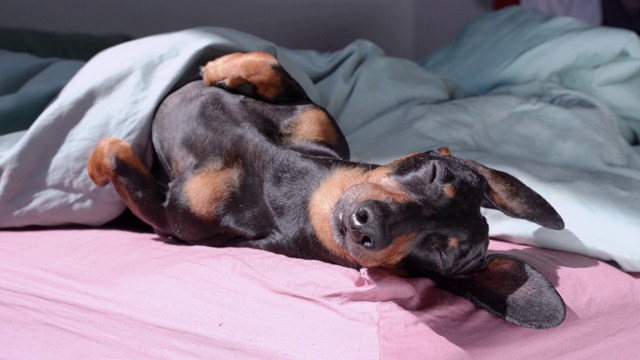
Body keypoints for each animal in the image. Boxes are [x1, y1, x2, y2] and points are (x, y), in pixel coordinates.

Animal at [89, 51, 564, 330]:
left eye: (438, 254)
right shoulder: (313, 117)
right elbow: (271, 62)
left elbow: (113, 151)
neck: (298, 188)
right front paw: (222, 65)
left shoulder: (170, 217)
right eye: (433, 174)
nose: (369, 224)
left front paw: (91, 168)